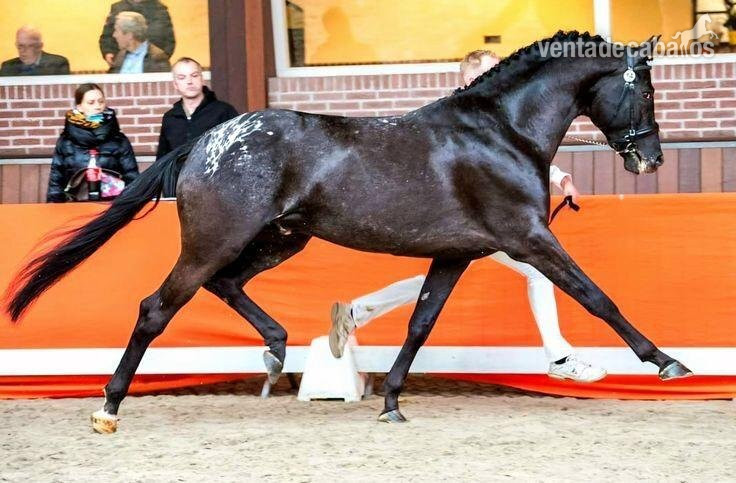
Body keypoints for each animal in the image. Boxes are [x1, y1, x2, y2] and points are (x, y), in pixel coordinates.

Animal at [6, 31, 692, 433]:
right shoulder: (527, 239)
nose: (651, 159)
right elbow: (597, 297)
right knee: (156, 307)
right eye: (646, 90)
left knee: (227, 286)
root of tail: (205, 141)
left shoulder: (457, 253)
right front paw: (666, 362)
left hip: (281, 238)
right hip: (217, 239)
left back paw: (276, 349)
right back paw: (108, 407)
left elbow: (420, 322)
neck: (502, 132)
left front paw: (390, 403)